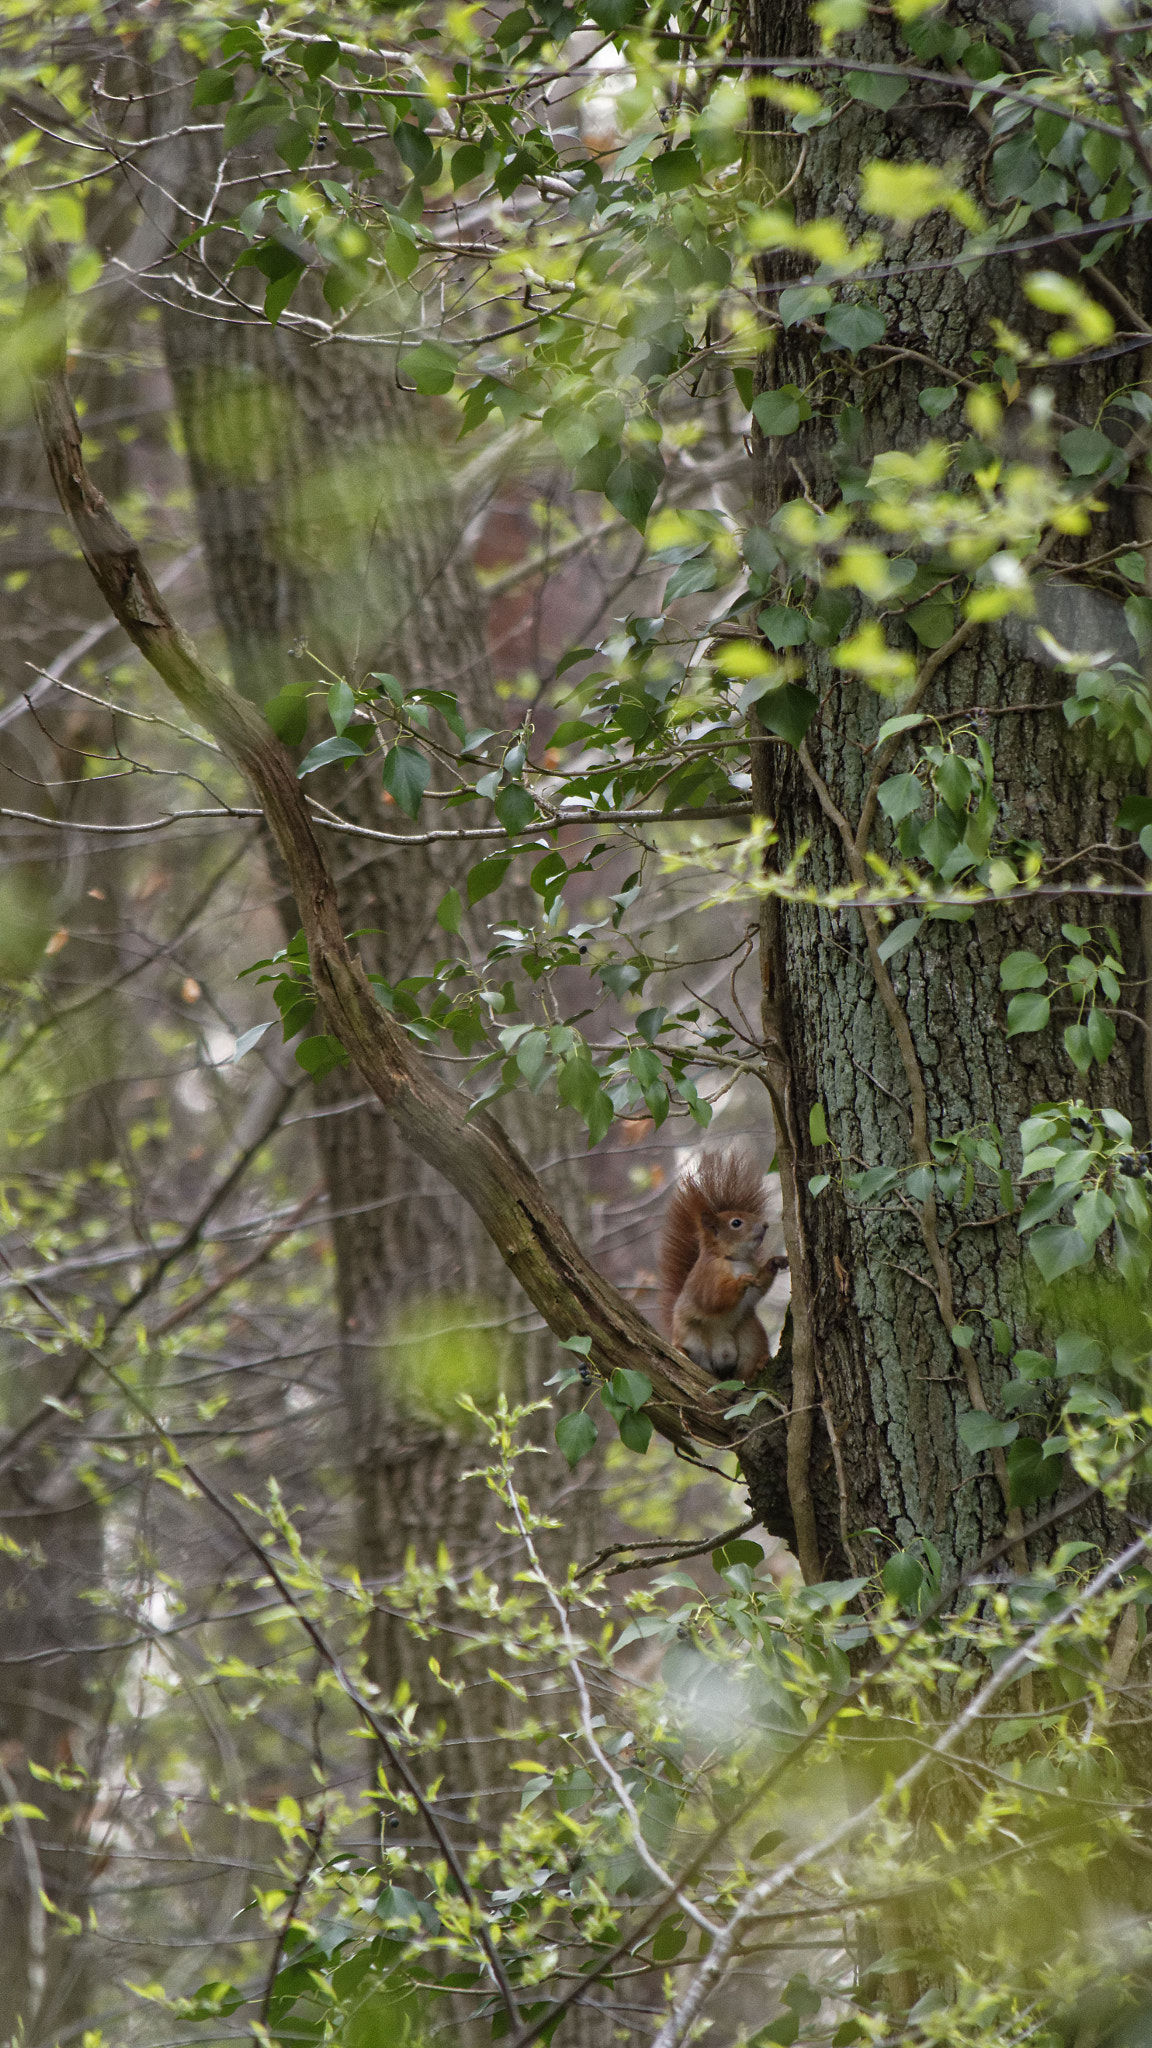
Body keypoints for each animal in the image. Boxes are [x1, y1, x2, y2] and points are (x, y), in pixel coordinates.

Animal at [659, 1148, 786, 1382]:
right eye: (736, 1223)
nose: (764, 1225)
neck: (735, 1260)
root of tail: (722, 1368)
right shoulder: (709, 1274)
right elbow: (713, 1299)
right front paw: (742, 1282)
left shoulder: (752, 1268)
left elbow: (761, 1285)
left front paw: (774, 1262)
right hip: (692, 1336)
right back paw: (681, 1352)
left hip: (750, 1335)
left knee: (743, 1374)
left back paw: (758, 1365)